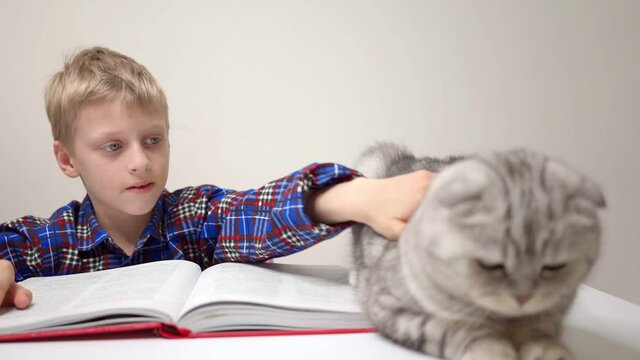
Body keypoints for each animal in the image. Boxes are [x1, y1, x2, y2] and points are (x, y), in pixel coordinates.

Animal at [350, 142, 604, 358]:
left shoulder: (552, 310)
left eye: (553, 266)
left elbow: (540, 331)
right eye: (490, 264)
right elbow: (454, 330)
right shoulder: (390, 306)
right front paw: (493, 350)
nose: (522, 297)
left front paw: (549, 351)